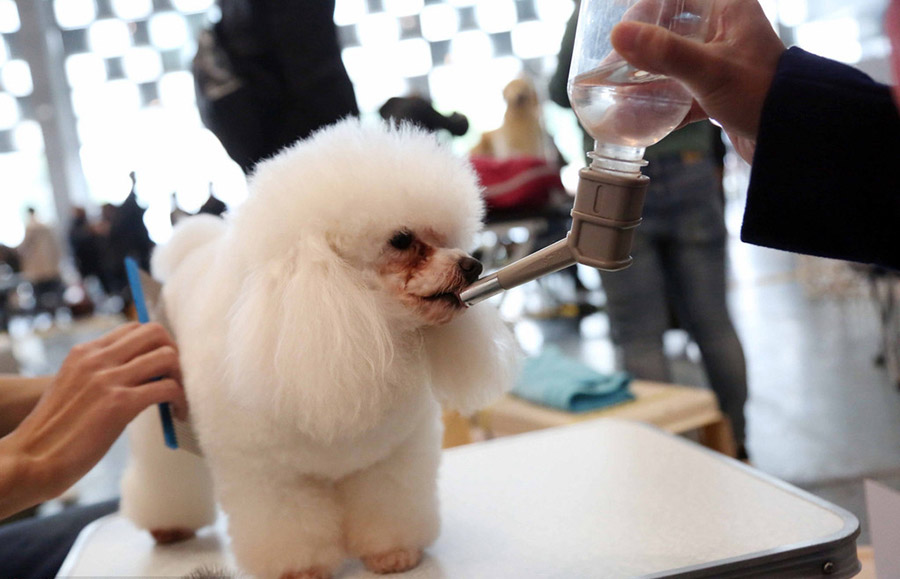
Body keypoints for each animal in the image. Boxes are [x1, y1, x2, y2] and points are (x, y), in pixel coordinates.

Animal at [118, 120, 520, 576]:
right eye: (401, 239)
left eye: (448, 237)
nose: (472, 264)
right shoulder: (272, 476)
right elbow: (290, 528)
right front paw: (301, 569)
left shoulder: (390, 458)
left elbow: (391, 505)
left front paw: (394, 553)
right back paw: (168, 526)